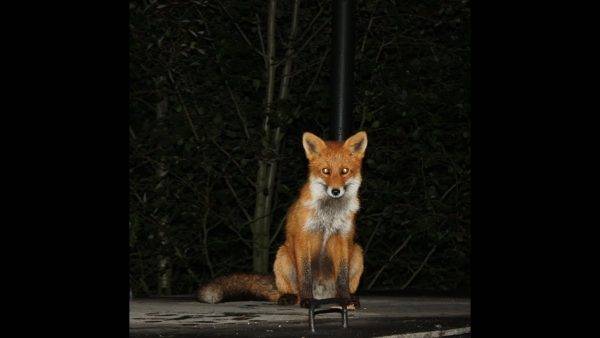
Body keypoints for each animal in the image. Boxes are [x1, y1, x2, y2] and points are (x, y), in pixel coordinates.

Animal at [198, 131, 366, 306]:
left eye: (344, 171)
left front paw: (345, 299)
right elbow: (305, 276)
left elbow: (342, 277)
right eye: (325, 171)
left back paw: (347, 297)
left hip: (357, 252)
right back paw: (290, 297)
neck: (329, 215)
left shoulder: (343, 238)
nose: (335, 191)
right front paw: (307, 300)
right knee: (292, 292)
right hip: (282, 255)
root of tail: (322, 296)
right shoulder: (303, 236)